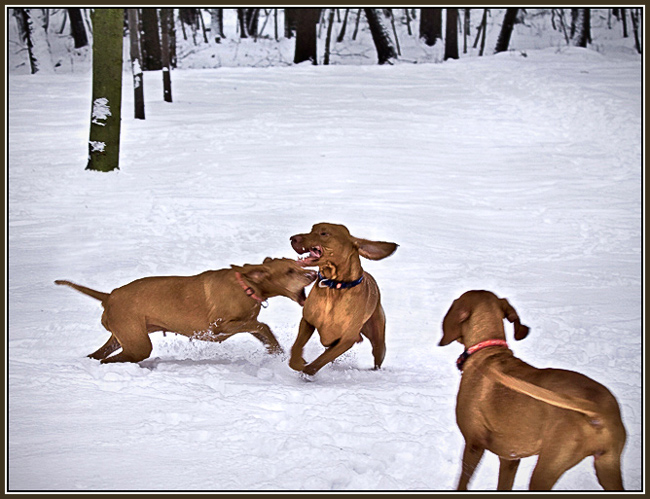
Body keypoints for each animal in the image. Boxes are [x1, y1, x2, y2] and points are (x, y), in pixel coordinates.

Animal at [55, 258, 314, 364]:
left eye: (297, 265)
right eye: (290, 271)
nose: (313, 275)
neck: (247, 285)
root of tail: (109, 295)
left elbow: (265, 333)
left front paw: (277, 353)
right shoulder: (219, 329)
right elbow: (263, 325)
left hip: (123, 337)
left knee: (98, 355)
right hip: (138, 344)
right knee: (110, 360)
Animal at [288, 223, 394, 376]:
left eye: (324, 233)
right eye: (312, 229)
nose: (292, 238)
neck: (333, 287)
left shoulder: (347, 340)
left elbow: (319, 362)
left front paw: (307, 371)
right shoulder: (307, 321)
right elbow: (296, 348)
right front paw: (298, 362)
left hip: (378, 339)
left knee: (378, 358)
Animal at [438, 292, 624, 490]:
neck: (487, 351)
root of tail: (595, 410)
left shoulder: (473, 444)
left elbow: (463, 482)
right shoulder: (510, 457)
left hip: (546, 470)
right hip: (608, 465)